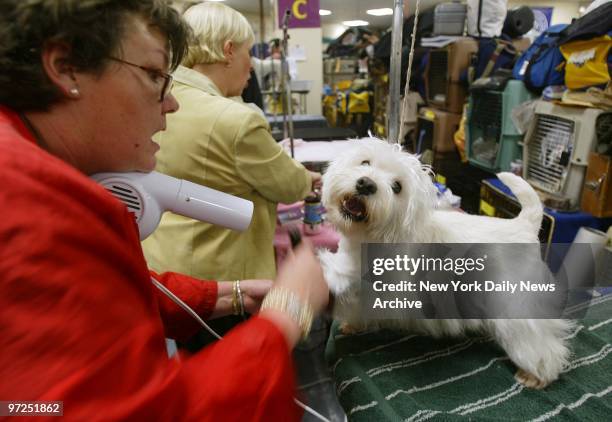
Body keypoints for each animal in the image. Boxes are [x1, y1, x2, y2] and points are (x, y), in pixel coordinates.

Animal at [320, 139, 572, 390]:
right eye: (365, 162)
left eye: (397, 187)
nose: (366, 184)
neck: (369, 237)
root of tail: (525, 224)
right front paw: (353, 325)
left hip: (514, 303)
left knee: (539, 341)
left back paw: (537, 374)